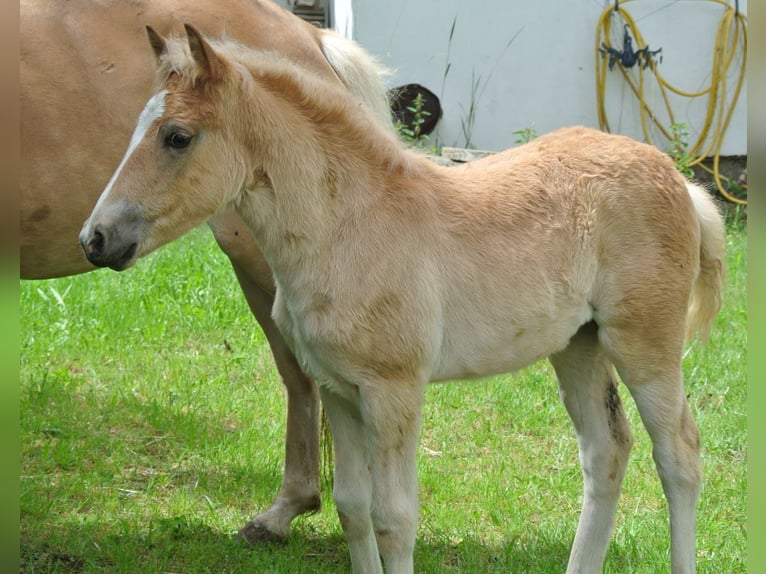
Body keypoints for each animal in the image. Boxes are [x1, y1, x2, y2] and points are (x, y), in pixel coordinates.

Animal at [79, 24, 728, 572]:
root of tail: (680, 180)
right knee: (605, 452)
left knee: (679, 456)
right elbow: (352, 508)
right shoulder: (339, 390)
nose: (96, 238)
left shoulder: (394, 391)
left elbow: (394, 518)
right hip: (578, 344)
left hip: (643, 343)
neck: (349, 227)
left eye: (177, 137)